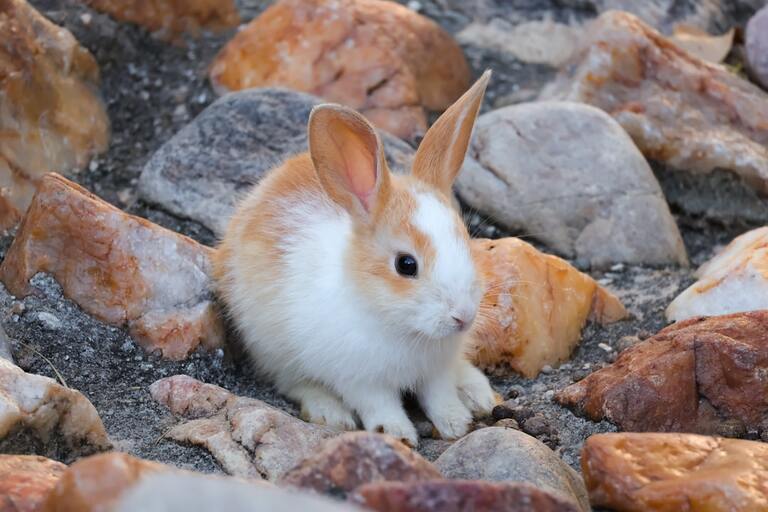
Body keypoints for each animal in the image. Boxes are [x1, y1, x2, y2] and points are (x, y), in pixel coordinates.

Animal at [213, 71, 497, 447]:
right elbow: (379, 404)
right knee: (293, 383)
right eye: (406, 265)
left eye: (465, 241)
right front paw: (397, 434)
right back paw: (329, 412)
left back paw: (479, 393)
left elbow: (439, 396)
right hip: (271, 349)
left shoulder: (436, 372)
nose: (463, 317)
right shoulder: (359, 379)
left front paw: (456, 423)